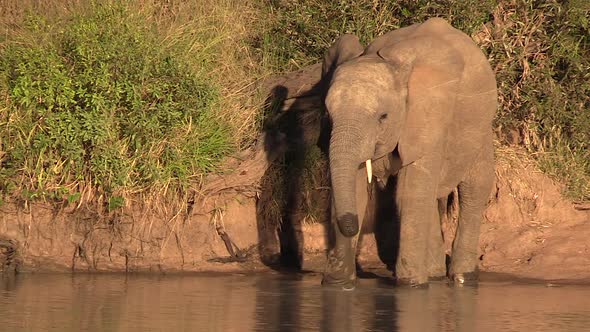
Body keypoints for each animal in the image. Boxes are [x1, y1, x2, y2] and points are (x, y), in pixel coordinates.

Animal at [324, 17, 500, 288]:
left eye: (383, 117)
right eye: (328, 115)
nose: (353, 226)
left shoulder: (429, 115)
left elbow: (410, 192)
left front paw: (411, 285)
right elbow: (356, 184)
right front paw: (337, 283)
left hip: (480, 125)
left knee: (473, 187)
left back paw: (462, 278)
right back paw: (435, 274)